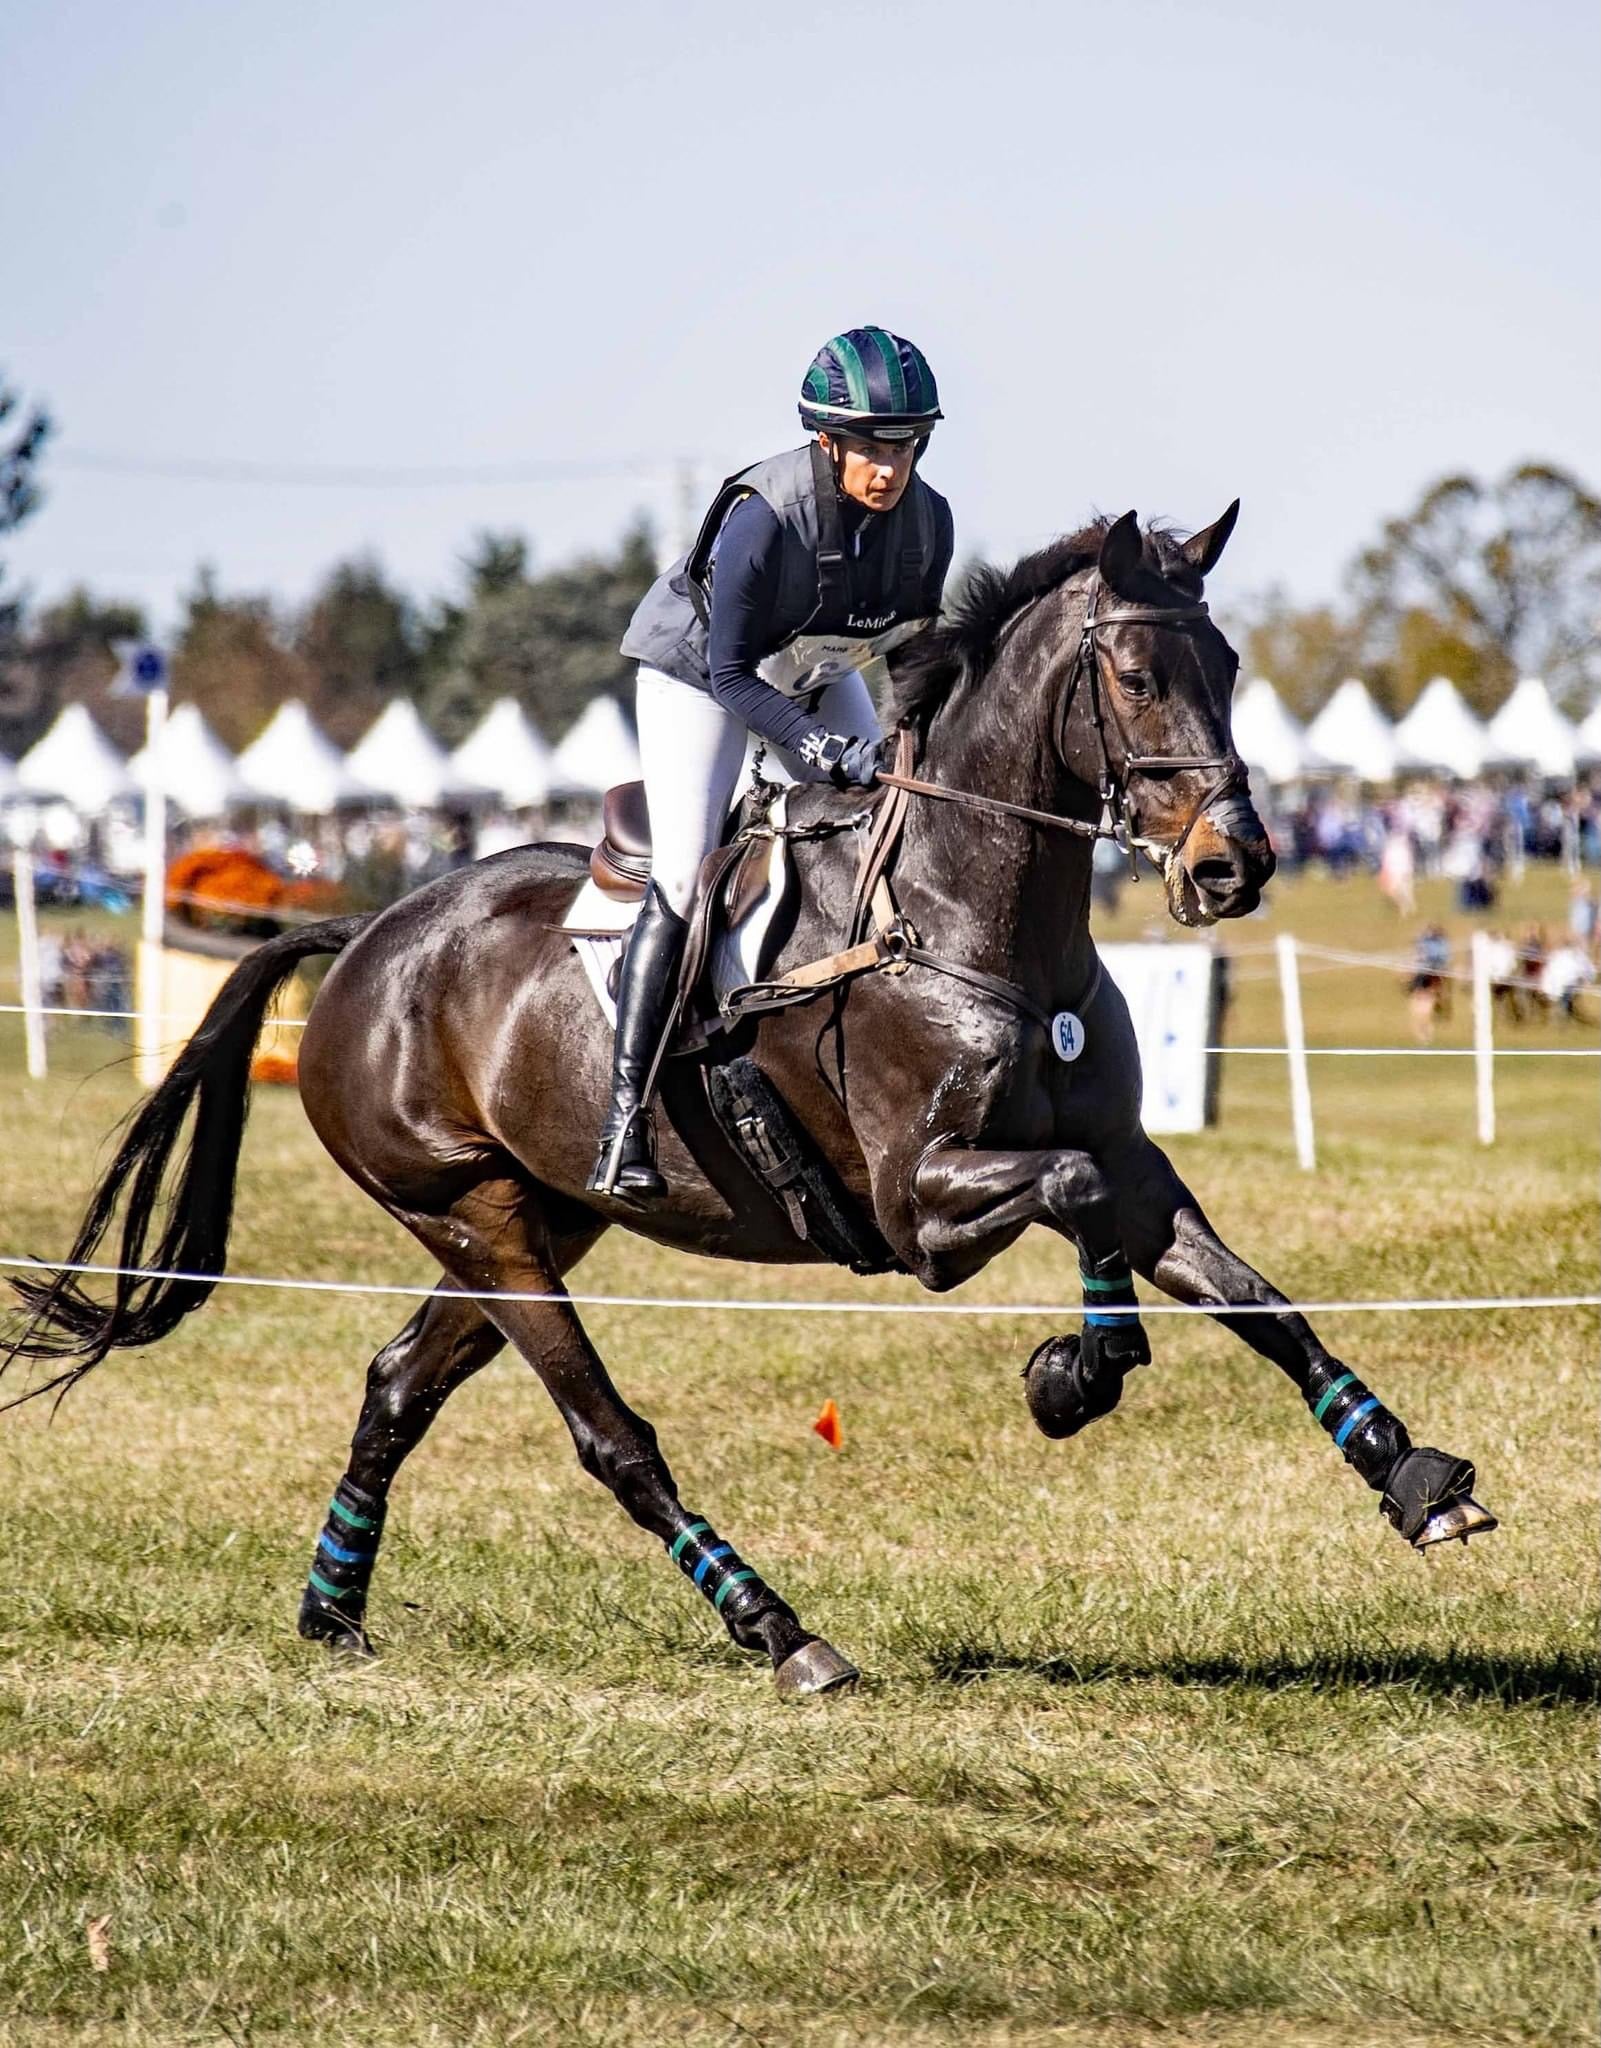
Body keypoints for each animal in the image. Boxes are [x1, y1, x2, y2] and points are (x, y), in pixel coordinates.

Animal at [3, 505, 1496, 1698]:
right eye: (1135, 674)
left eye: (1229, 667)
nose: (1233, 865)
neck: (970, 922)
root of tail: (366, 936)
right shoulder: (918, 1208)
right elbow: (1073, 1208)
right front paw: (1073, 1375)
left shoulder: (1128, 1155)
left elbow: (1248, 1295)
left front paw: (1413, 1478)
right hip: (479, 1216)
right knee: (612, 1441)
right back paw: (782, 1632)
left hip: (535, 1215)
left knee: (393, 1385)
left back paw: (332, 1613)